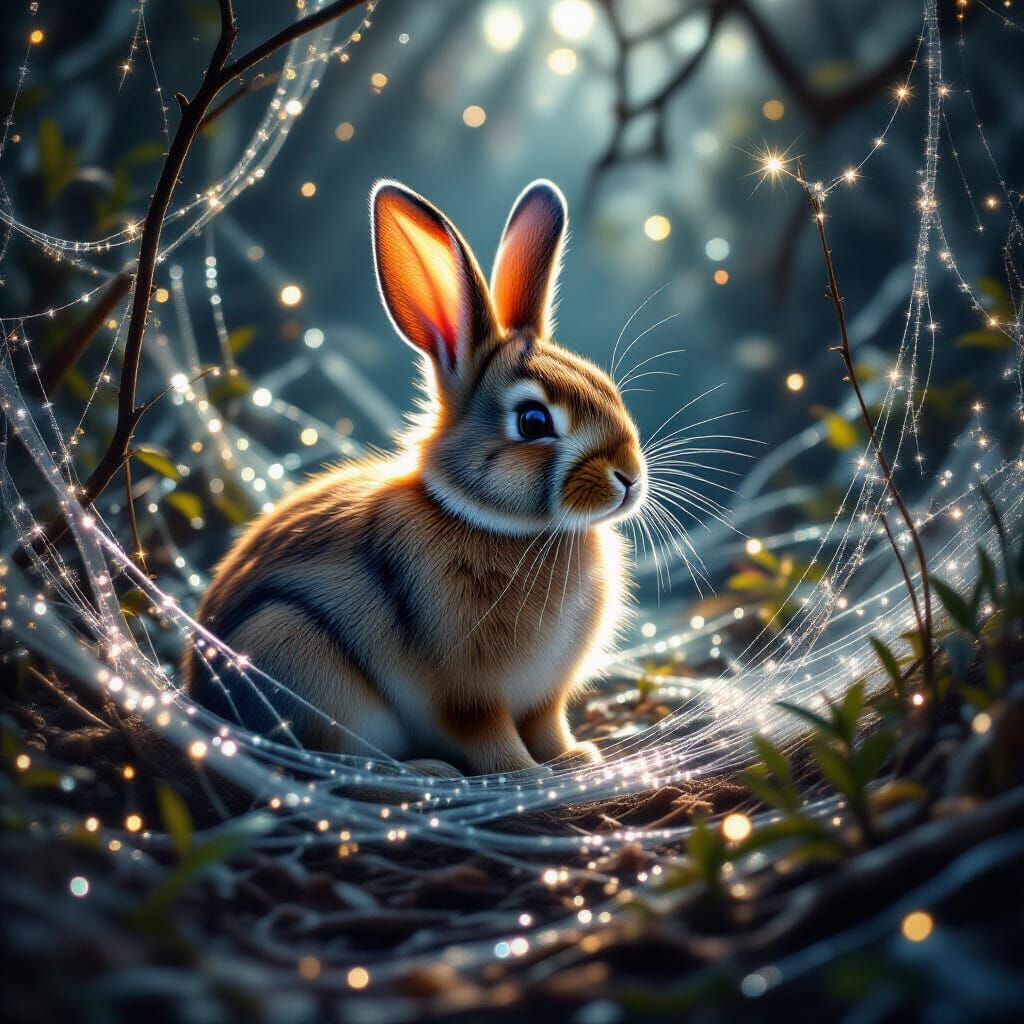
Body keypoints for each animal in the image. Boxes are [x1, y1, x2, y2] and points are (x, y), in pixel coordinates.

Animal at [183, 179, 647, 774]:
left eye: (607, 388)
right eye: (533, 421)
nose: (628, 477)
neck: (498, 524)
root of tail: (200, 699)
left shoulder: (546, 697)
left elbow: (549, 726)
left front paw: (578, 757)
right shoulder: (466, 697)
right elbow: (491, 741)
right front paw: (525, 775)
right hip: (294, 656)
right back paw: (427, 770)